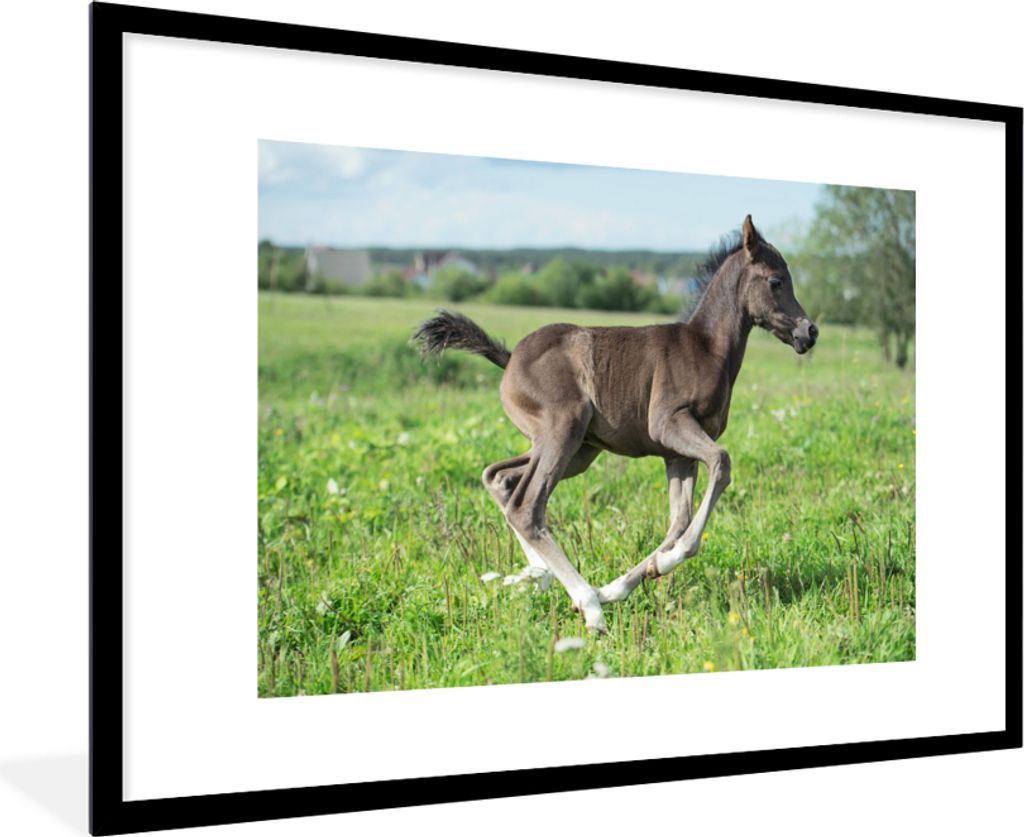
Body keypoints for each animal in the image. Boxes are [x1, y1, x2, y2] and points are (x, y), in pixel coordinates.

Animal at [413, 216, 817, 634]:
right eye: (776, 281)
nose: (809, 332)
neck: (706, 348)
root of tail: (509, 360)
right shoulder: (670, 425)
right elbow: (720, 466)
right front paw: (652, 569)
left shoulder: (676, 455)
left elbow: (679, 520)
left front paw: (621, 585)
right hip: (563, 430)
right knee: (527, 506)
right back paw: (588, 605)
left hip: (577, 449)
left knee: (500, 479)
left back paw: (541, 576)